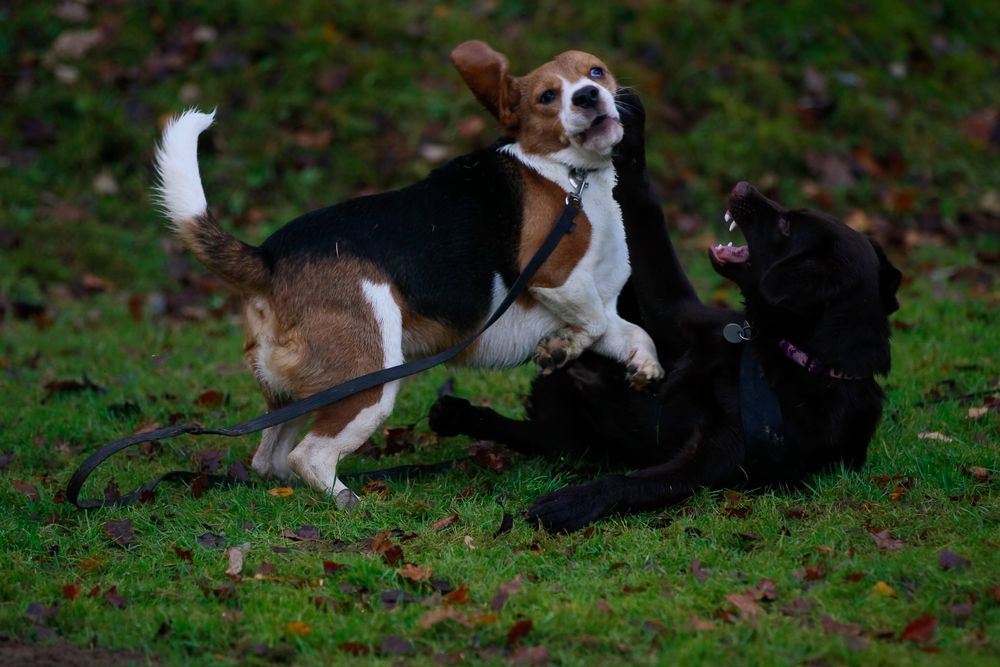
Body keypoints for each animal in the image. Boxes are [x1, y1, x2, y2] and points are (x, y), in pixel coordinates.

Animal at [152, 40, 660, 506]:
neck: (569, 174)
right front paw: (560, 350)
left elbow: (630, 332)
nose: (589, 96)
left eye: (595, 71)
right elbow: (589, 323)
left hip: (295, 391)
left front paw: (644, 368)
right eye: (547, 96)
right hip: (370, 377)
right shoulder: (553, 276)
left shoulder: (598, 303)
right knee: (308, 456)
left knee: (270, 459)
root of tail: (268, 257)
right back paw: (349, 502)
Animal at [426, 92, 904, 532]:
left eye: (787, 226)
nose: (742, 186)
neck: (784, 352)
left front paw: (573, 503)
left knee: (539, 437)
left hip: (577, 437)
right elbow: (646, 217)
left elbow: (633, 483)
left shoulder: (709, 458)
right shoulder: (674, 319)